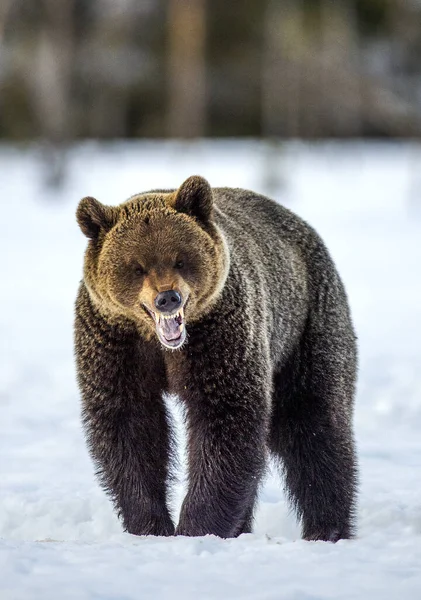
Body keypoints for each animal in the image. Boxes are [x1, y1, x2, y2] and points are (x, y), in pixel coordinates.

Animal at [74, 173, 356, 540]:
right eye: (137, 267)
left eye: (180, 258)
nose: (168, 298)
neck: (163, 347)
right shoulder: (115, 344)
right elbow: (130, 426)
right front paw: (151, 524)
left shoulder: (221, 335)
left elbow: (225, 420)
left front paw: (197, 526)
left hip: (306, 328)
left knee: (315, 426)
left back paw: (327, 528)